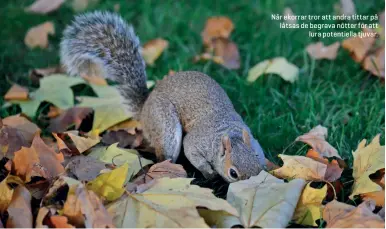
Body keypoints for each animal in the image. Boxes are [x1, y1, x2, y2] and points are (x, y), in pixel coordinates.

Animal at [60, 11, 266, 182]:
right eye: (233, 173)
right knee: (164, 155)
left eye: (257, 162)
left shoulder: (254, 141)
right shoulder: (199, 142)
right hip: (165, 126)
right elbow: (191, 150)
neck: (230, 134)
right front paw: (209, 172)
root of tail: (144, 110)